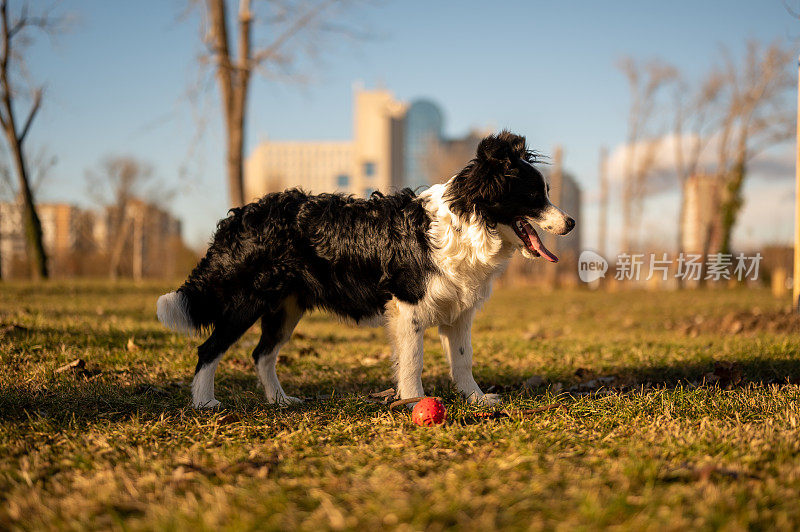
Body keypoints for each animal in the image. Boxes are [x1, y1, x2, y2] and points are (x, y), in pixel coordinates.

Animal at [158, 131, 576, 410]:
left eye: (547, 192)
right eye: (534, 195)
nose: (571, 222)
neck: (467, 223)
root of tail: (242, 215)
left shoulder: (459, 312)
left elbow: (462, 359)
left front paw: (475, 399)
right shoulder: (408, 308)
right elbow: (413, 361)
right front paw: (413, 402)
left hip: (287, 307)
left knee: (262, 354)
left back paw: (281, 400)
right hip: (247, 300)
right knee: (210, 348)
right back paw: (205, 403)